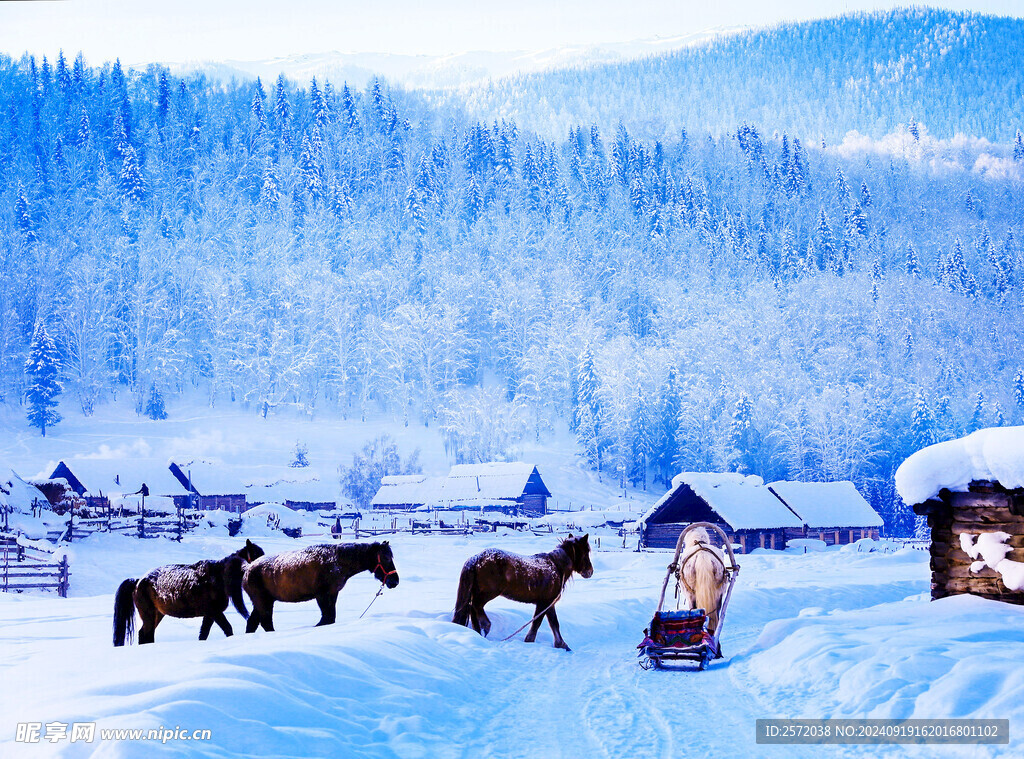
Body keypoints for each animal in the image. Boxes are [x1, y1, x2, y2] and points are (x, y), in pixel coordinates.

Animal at [112, 540, 264, 647]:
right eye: (256, 556)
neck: (218, 576)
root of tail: (138, 581)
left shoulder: (209, 615)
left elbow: (203, 634)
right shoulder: (215, 612)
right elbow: (228, 629)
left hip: (157, 614)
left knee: (144, 634)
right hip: (149, 614)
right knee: (146, 634)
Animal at [241, 540, 397, 635]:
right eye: (386, 558)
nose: (395, 581)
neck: (337, 561)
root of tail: (248, 569)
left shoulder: (332, 594)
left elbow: (330, 618)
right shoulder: (322, 595)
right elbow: (327, 618)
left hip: (263, 602)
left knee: (253, 623)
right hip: (263, 602)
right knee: (266, 623)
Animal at [454, 532, 598, 651]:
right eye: (586, 552)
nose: (590, 571)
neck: (556, 567)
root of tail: (476, 558)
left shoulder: (548, 604)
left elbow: (554, 623)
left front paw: (561, 645)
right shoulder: (544, 603)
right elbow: (538, 623)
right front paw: (530, 641)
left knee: (473, 609)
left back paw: (478, 632)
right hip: (488, 593)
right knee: (476, 606)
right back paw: (486, 625)